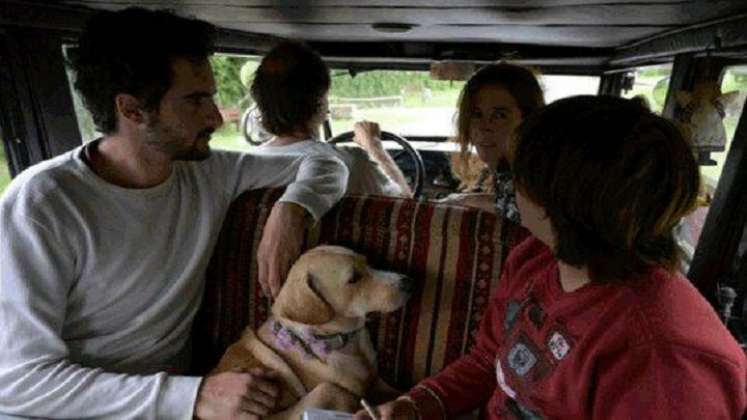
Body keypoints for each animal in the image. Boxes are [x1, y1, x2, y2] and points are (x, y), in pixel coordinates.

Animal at [213, 244, 418, 418]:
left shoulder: (377, 380)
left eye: (367, 262)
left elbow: (397, 391)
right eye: (354, 278)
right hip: (326, 392)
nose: (409, 282)